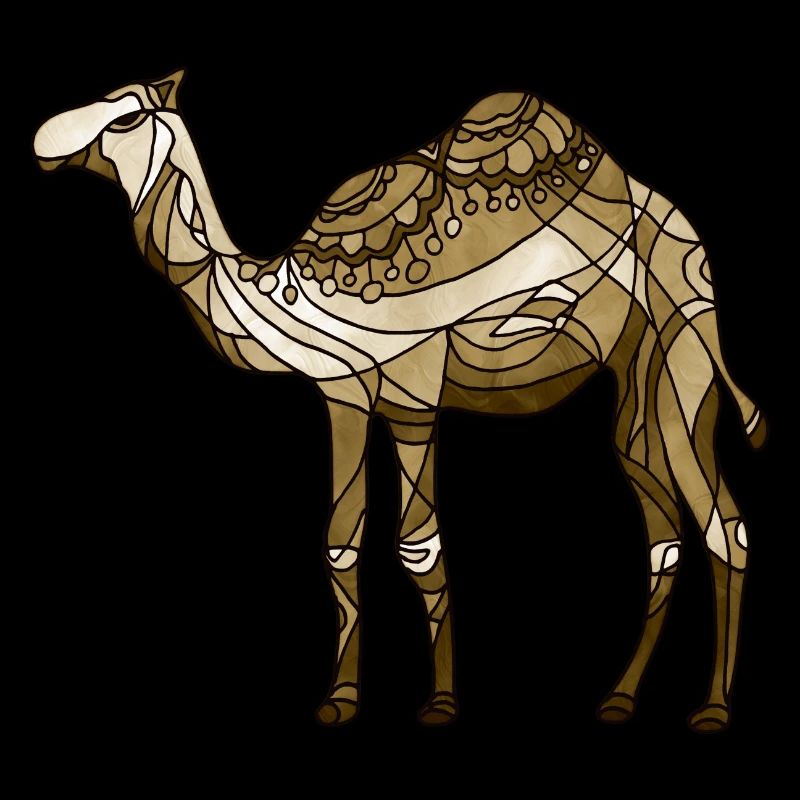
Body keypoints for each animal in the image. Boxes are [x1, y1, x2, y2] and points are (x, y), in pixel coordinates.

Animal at [34, 70, 764, 732]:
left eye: (127, 117)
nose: (45, 141)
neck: (289, 296)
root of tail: (662, 206)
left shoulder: (416, 385)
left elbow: (419, 544)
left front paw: (440, 704)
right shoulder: (344, 398)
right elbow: (340, 541)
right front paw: (340, 700)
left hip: (684, 337)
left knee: (721, 525)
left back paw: (713, 710)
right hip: (638, 379)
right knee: (665, 526)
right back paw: (618, 700)